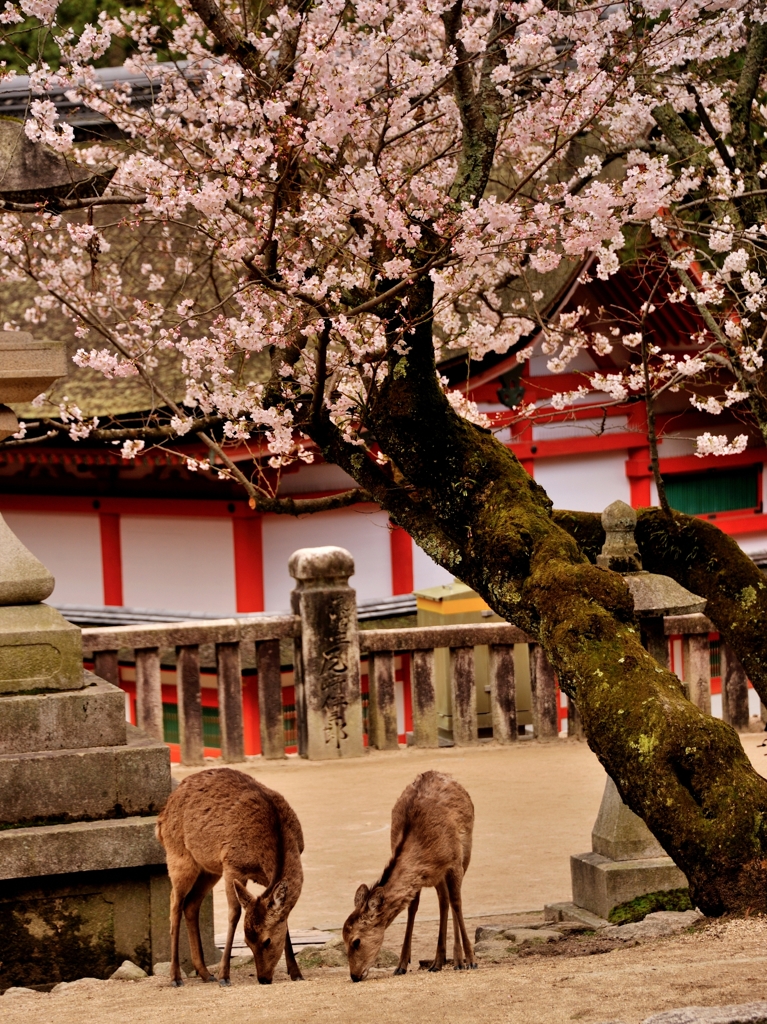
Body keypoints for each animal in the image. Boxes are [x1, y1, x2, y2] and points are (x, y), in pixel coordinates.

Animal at [156, 765, 305, 987]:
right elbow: (234, 914)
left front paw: (296, 973)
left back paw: (205, 973)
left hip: (209, 869)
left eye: (266, 941)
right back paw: (176, 977)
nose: (263, 978)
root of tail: (161, 816)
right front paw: (224, 976)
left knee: (191, 904)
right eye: (247, 941)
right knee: (175, 902)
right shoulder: (233, 865)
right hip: (179, 857)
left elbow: (284, 917)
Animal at [342, 770, 473, 978]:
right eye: (343, 939)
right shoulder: (420, 877)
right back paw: (438, 961)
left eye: (356, 941)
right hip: (439, 877)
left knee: (452, 902)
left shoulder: (454, 862)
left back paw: (457, 961)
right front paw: (401, 965)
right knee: (443, 901)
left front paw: (470, 960)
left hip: (466, 851)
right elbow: (413, 908)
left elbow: (457, 903)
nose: (354, 976)